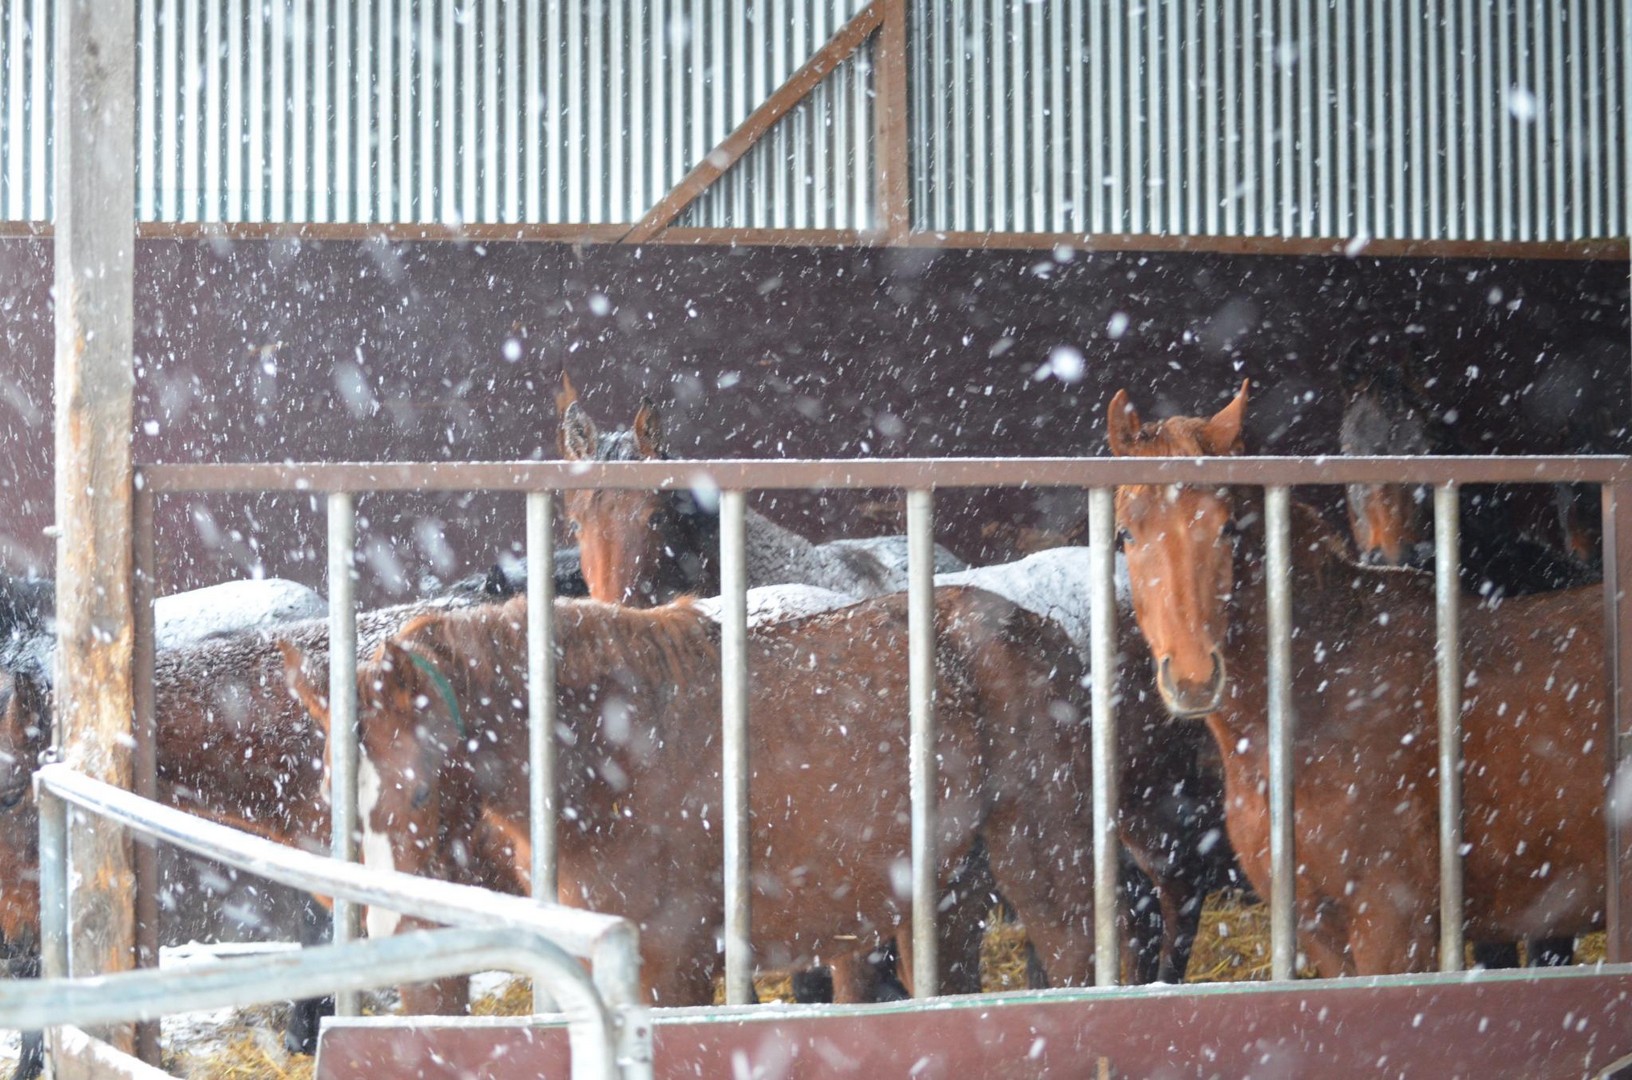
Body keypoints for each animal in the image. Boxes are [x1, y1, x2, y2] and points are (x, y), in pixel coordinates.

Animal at [282, 586, 1105, 1011]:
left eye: (420, 790)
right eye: (329, 796)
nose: (390, 936)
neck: (608, 762)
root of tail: (1045, 629)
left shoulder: (671, 964)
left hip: (1039, 857)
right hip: (944, 893)